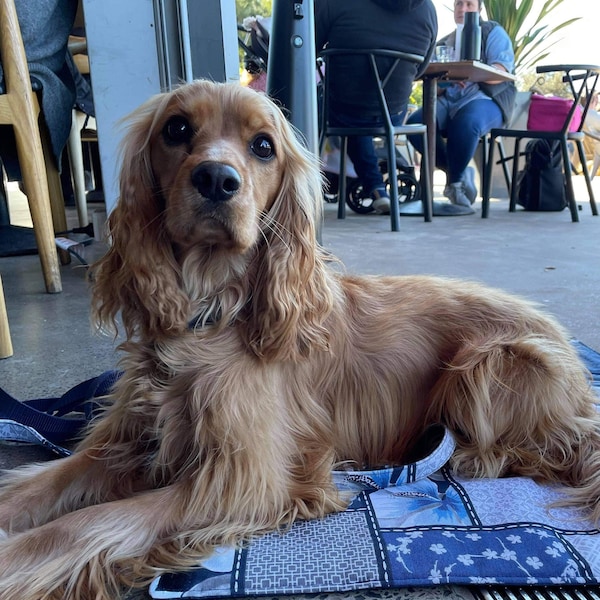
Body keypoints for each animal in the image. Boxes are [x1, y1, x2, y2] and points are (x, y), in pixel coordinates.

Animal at [1, 79, 600, 600]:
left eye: (263, 146)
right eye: (176, 129)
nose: (216, 179)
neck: (209, 315)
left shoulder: (243, 480)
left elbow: (81, 525)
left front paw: (14, 562)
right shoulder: (132, 439)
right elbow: (43, 484)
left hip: (488, 363)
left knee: (539, 447)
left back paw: (470, 459)